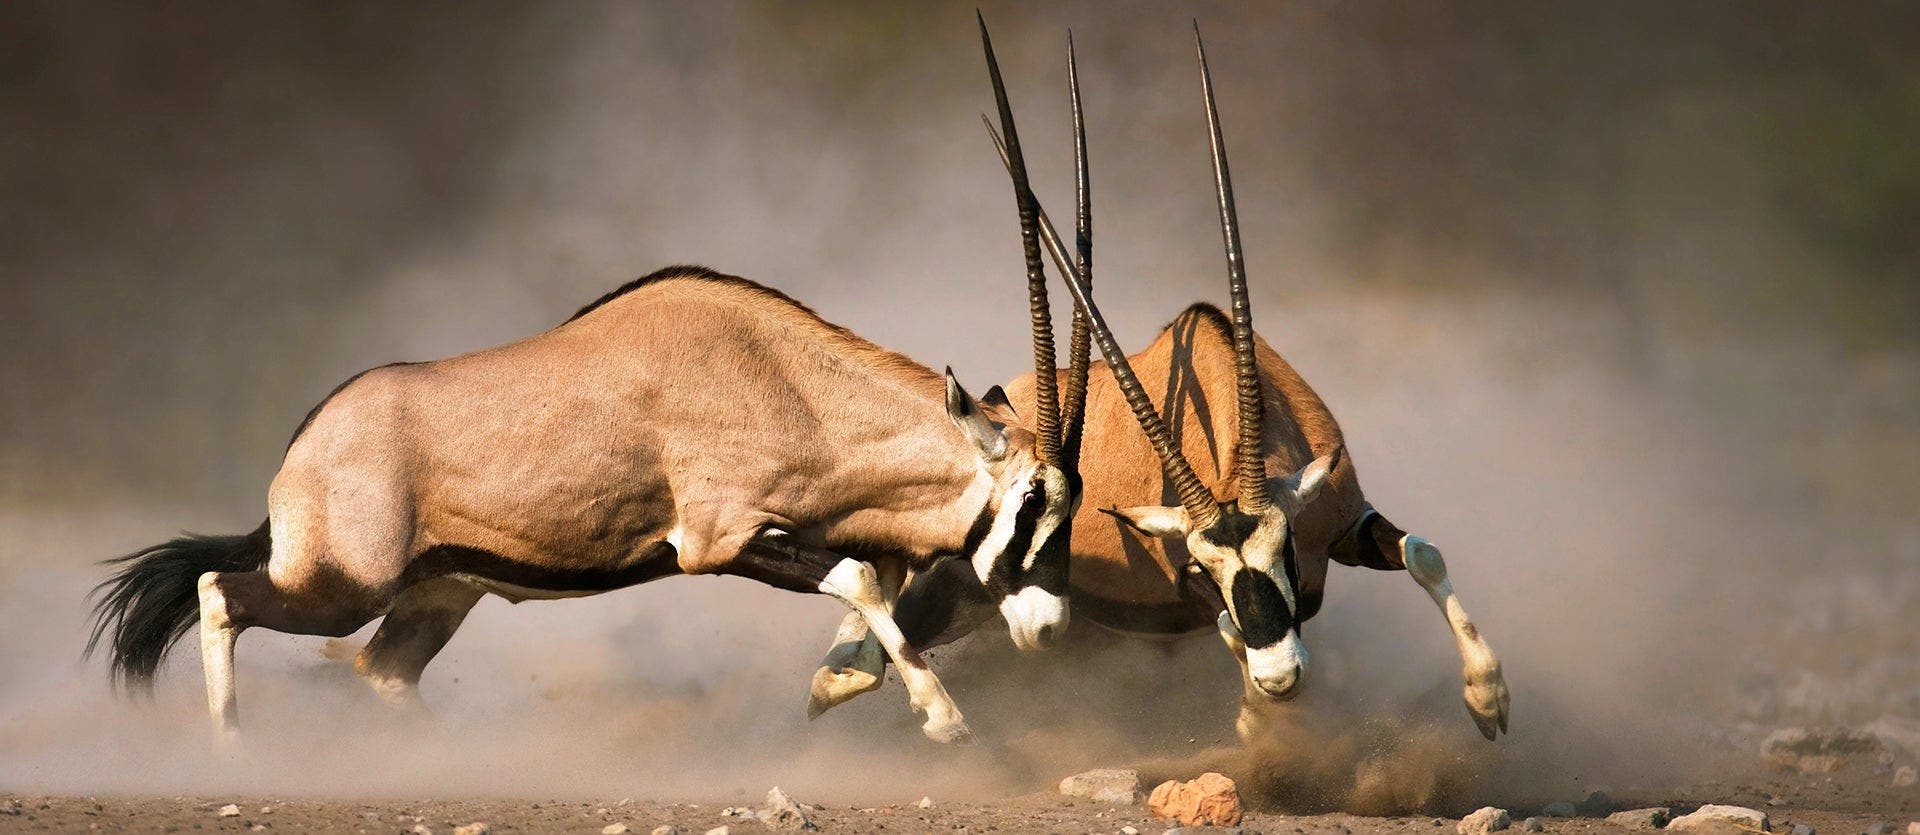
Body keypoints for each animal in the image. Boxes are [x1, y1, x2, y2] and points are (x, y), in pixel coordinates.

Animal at [82, 262, 1090, 744]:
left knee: (384, 672)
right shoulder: (718, 540)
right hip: (339, 585)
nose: (1050, 627)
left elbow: (872, 579)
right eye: (1031, 501)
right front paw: (944, 717)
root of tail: (304, 449)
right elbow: (859, 576)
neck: (783, 379)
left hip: (440, 592)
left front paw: (838, 684)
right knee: (220, 592)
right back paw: (233, 748)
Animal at [802, 19, 1505, 740]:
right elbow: (1227, 625)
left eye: (1285, 548)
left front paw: (1488, 698)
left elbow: (1423, 552)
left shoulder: (1345, 519)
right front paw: (1255, 724)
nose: (1280, 678)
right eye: (1201, 565)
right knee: (852, 662)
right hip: (957, 593)